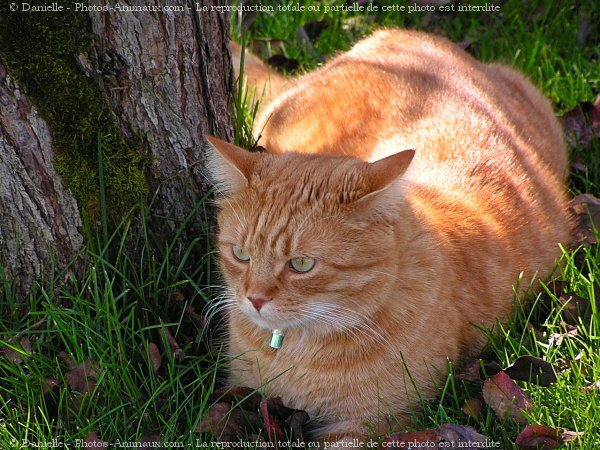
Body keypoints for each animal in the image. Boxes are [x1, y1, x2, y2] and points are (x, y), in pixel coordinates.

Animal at [206, 29, 572, 442]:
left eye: (301, 264)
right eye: (241, 255)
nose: (253, 299)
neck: (297, 351)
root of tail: (411, 35)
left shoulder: (371, 423)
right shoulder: (243, 394)